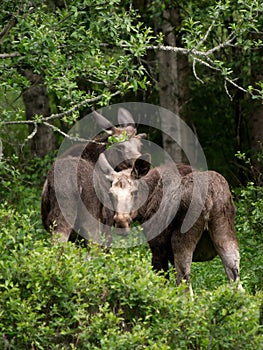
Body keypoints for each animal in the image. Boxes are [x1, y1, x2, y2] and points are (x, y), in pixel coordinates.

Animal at [99, 154, 243, 292]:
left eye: (134, 191)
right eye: (110, 194)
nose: (121, 223)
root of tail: (210, 198)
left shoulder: (158, 247)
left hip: (180, 239)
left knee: (185, 284)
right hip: (225, 234)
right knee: (237, 282)